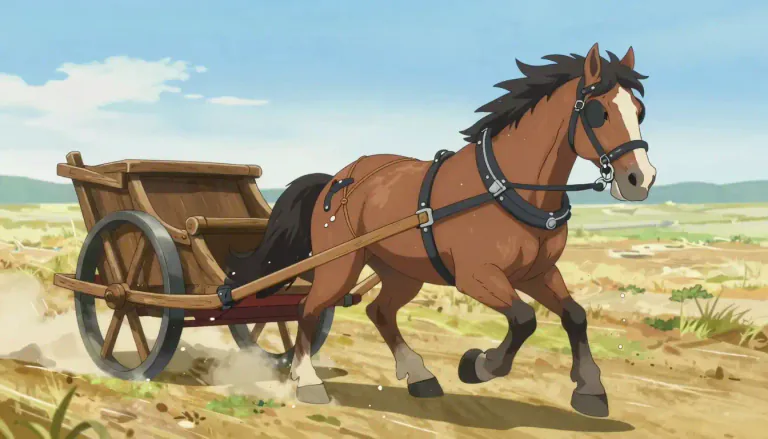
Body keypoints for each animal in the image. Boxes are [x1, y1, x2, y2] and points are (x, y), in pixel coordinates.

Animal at [226, 43, 656, 418]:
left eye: (639, 110)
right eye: (598, 112)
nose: (641, 179)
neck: (505, 186)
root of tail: (336, 179)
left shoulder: (538, 272)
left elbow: (575, 316)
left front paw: (590, 389)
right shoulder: (476, 276)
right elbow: (523, 319)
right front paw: (479, 365)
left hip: (401, 271)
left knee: (378, 311)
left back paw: (419, 375)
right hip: (340, 264)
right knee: (309, 309)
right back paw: (308, 380)